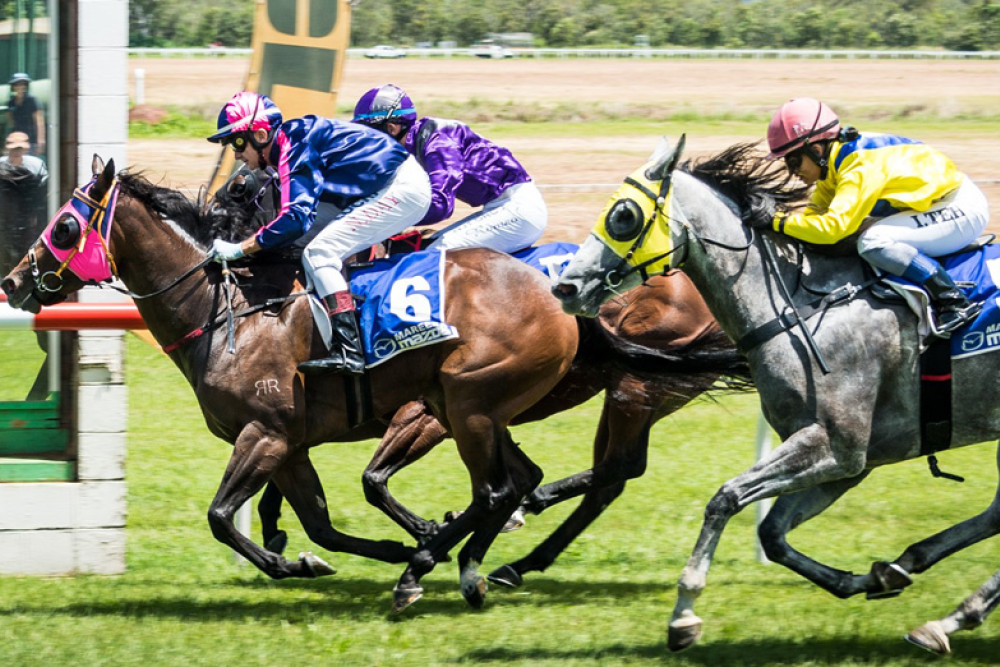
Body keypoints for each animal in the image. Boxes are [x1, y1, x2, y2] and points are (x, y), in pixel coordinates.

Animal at [0, 157, 736, 616]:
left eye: (65, 224)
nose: (13, 280)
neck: (233, 311)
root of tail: (556, 299)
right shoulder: (290, 443)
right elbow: (322, 525)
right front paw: (328, 555)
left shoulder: (272, 432)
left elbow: (229, 515)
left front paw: (401, 545)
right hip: (491, 405)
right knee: (550, 478)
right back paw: (471, 556)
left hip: (493, 400)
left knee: (528, 485)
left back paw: (456, 564)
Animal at [552, 136, 1000, 652]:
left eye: (622, 215)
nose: (564, 286)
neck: (799, 307)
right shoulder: (851, 460)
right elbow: (772, 532)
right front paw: (870, 578)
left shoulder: (836, 447)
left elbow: (726, 498)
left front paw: (684, 612)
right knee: (996, 513)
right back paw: (939, 603)